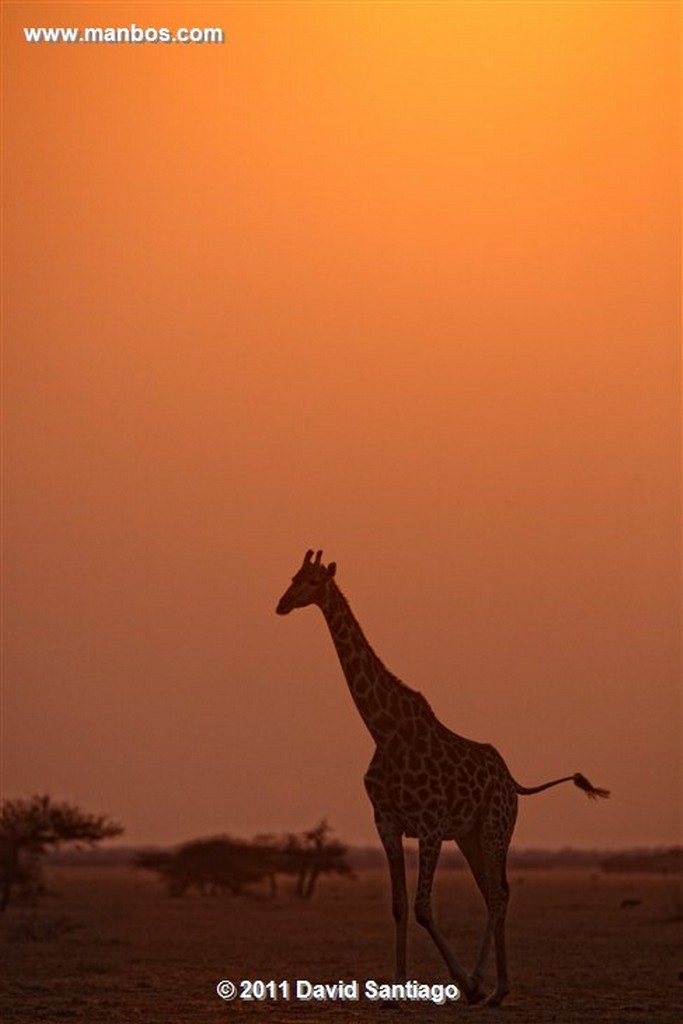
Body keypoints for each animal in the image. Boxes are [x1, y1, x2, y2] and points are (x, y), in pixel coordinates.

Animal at [276, 552, 610, 1007]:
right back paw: (499, 989)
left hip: (496, 827)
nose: (282, 603)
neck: (383, 730)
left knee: (499, 894)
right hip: (470, 835)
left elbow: (423, 907)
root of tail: (512, 781)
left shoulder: (431, 825)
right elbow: (399, 905)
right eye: (293, 577)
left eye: (312, 581)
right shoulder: (386, 822)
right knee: (494, 892)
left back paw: (488, 985)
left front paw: (465, 983)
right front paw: (395, 992)